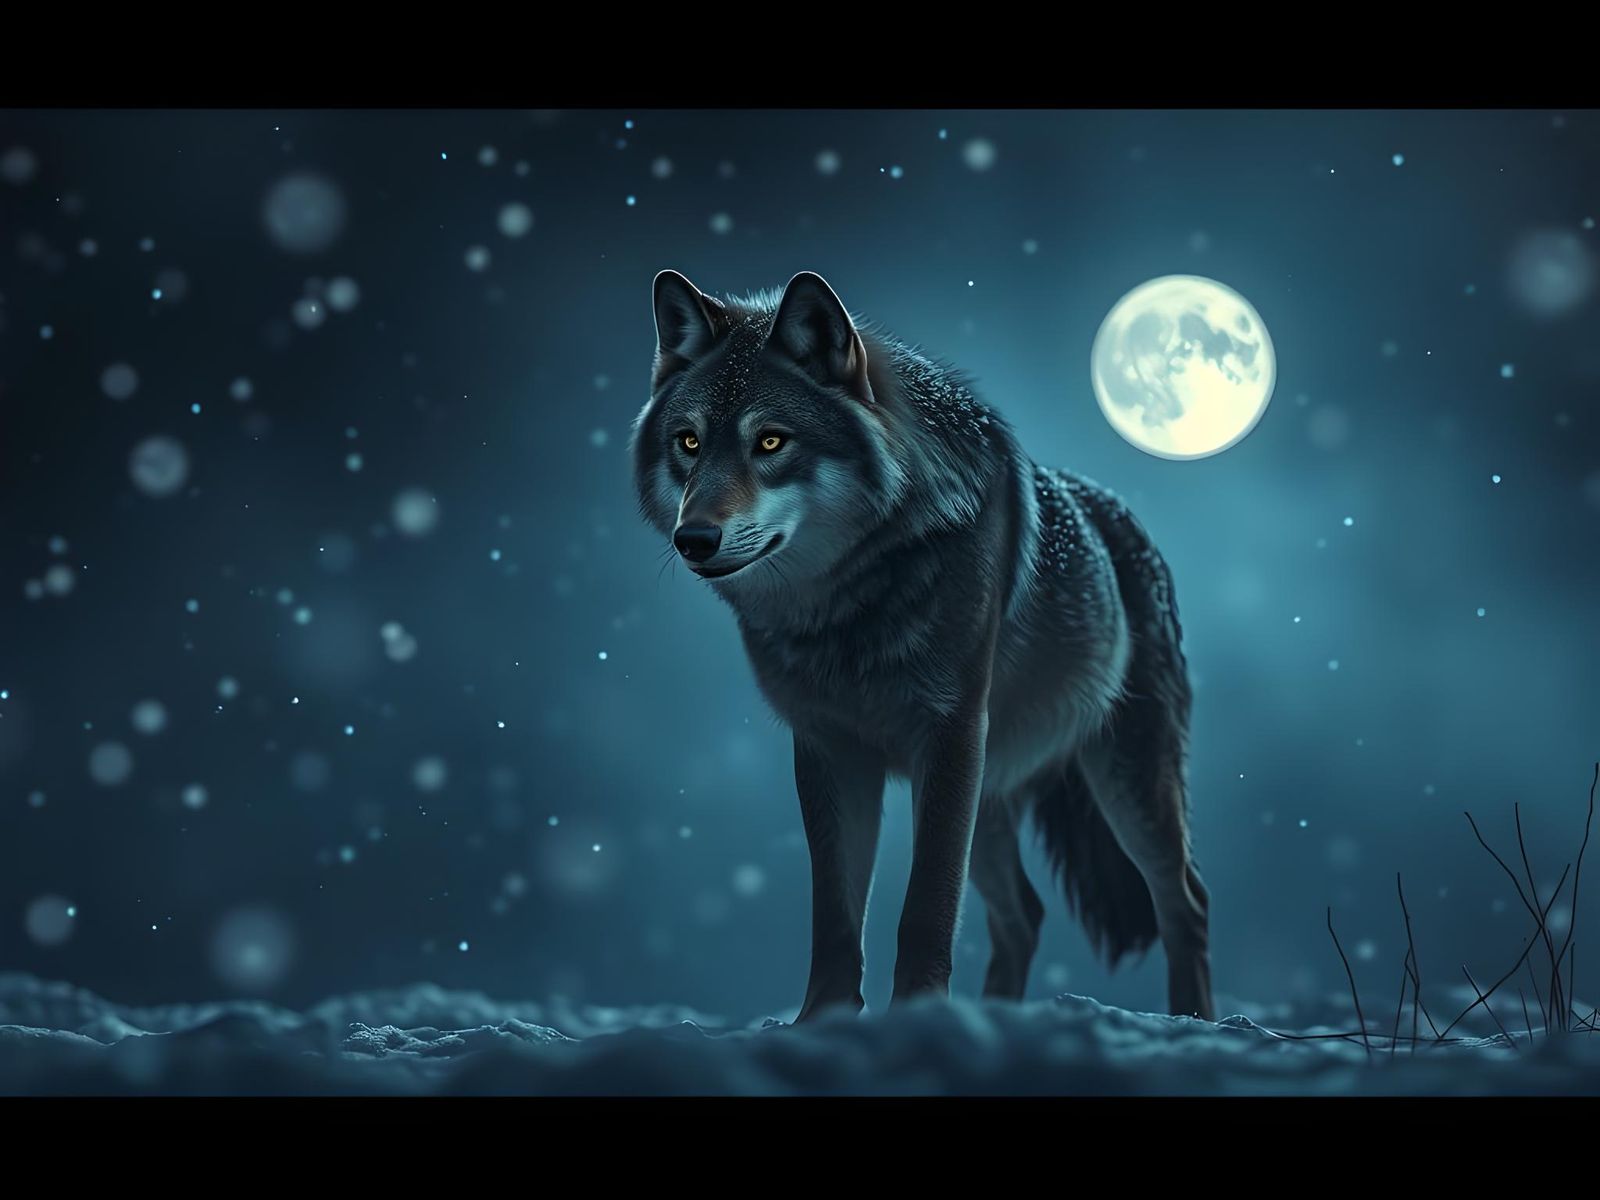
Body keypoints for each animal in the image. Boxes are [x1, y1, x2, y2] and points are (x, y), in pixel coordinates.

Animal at [631, 270, 1214, 1022]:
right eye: (689, 442)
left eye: (771, 442)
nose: (693, 539)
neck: (847, 607)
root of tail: (1122, 517)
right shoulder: (828, 747)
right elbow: (835, 912)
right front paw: (823, 1022)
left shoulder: (948, 735)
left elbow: (926, 905)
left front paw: (914, 1019)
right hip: (995, 799)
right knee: (1024, 915)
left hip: (1124, 780)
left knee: (1185, 900)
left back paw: (1194, 1021)